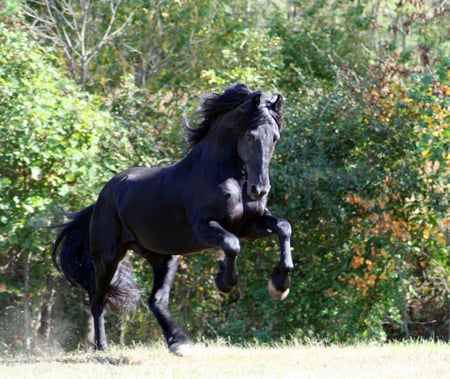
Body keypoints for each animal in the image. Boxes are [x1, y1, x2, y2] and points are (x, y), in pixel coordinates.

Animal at [52, 83, 294, 356]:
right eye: (251, 136)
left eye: (275, 138)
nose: (259, 190)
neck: (224, 175)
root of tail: (103, 198)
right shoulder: (206, 229)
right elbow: (232, 244)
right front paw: (223, 281)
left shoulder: (249, 225)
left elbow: (284, 227)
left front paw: (280, 285)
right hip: (107, 258)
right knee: (97, 299)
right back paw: (102, 347)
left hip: (164, 258)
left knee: (156, 301)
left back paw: (178, 342)